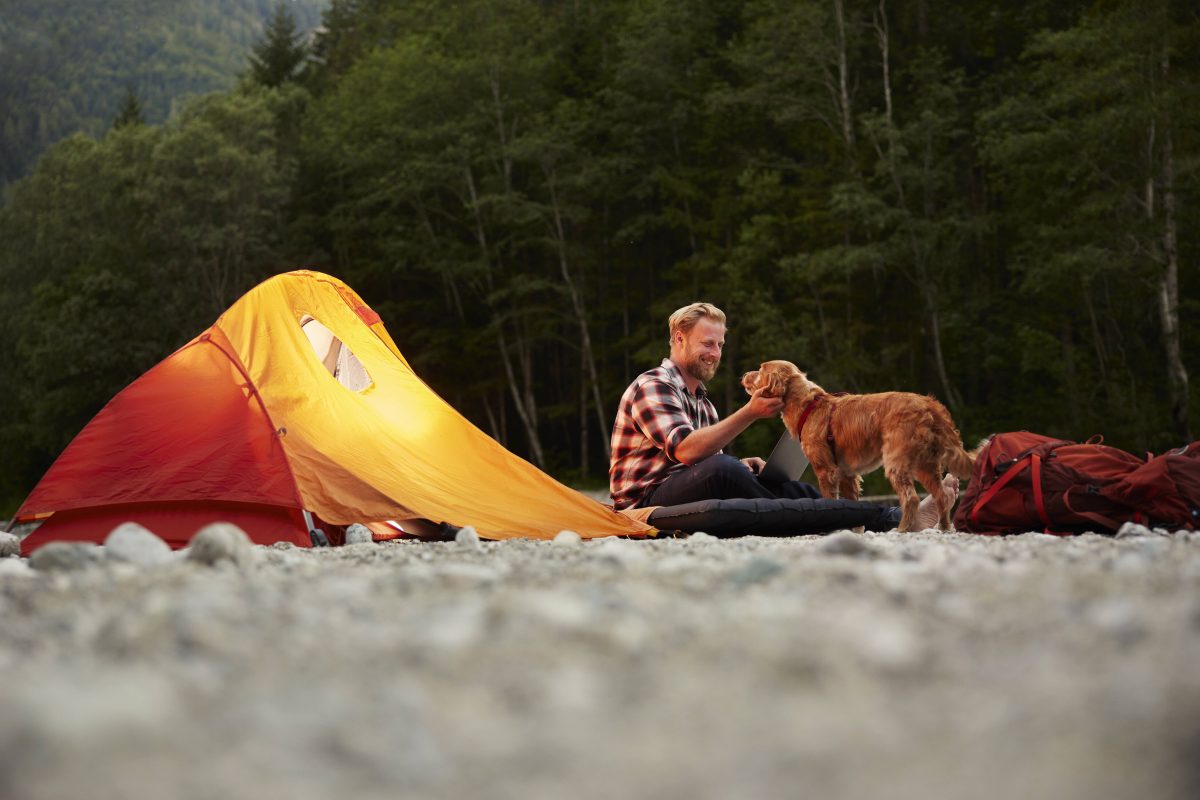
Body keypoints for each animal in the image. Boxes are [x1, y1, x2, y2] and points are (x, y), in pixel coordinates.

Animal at [744, 362, 979, 532]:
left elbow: (830, 502)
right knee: (941, 495)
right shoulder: (847, 474)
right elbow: (854, 508)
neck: (809, 406)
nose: (745, 374)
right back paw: (944, 528)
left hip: (897, 463)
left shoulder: (826, 470)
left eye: (761, 369)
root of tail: (928, 403)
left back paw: (903, 530)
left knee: (911, 498)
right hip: (925, 464)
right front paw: (855, 532)